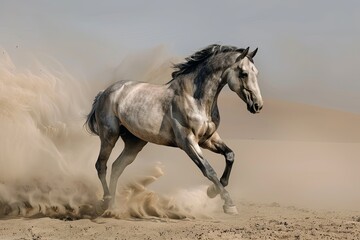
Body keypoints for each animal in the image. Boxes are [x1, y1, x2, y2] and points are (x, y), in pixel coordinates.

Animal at [86, 44, 262, 215]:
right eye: (244, 74)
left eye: (256, 73)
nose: (257, 106)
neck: (194, 98)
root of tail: (104, 92)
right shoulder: (187, 142)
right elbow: (208, 170)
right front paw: (228, 203)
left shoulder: (209, 139)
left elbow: (230, 156)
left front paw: (212, 191)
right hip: (109, 136)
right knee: (101, 165)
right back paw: (106, 202)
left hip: (134, 143)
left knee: (117, 167)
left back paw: (113, 207)